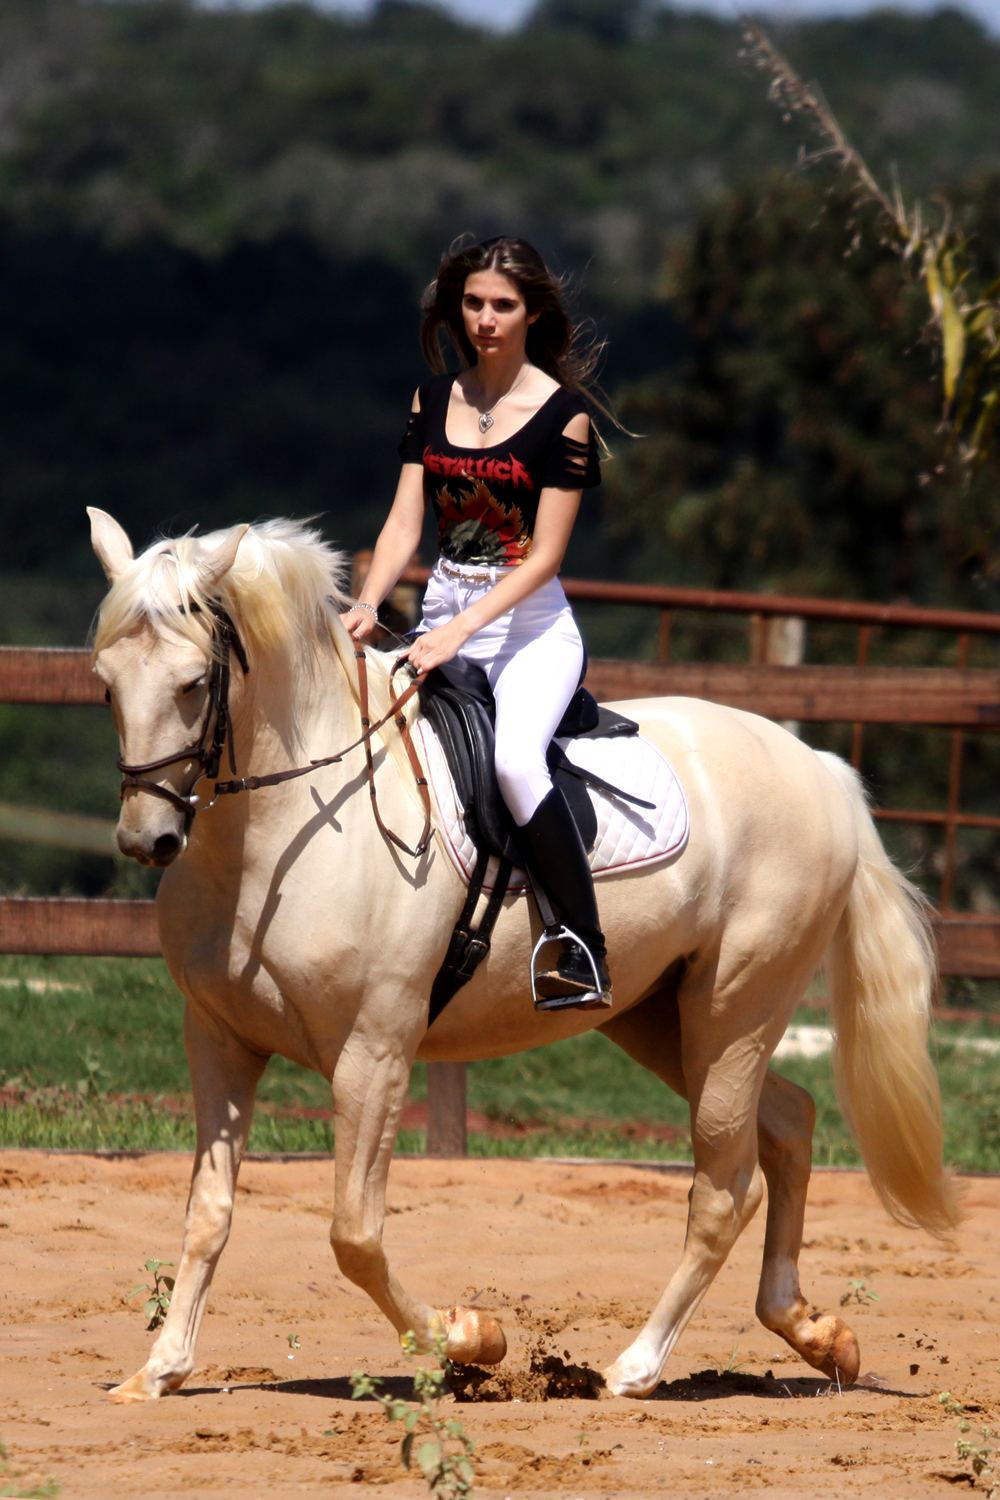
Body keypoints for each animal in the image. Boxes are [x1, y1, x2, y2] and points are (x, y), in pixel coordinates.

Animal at [86, 508, 957, 1404]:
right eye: (107, 683)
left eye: (195, 683)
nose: (147, 841)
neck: (285, 830)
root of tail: (819, 768)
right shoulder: (219, 1040)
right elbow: (209, 1212)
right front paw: (159, 1370)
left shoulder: (375, 1051)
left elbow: (354, 1234)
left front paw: (469, 1340)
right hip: (660, 1017)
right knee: (788, 1122)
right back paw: (816, 1334)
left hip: (735, 1011)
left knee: (724, 1189)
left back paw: (636, 1368)